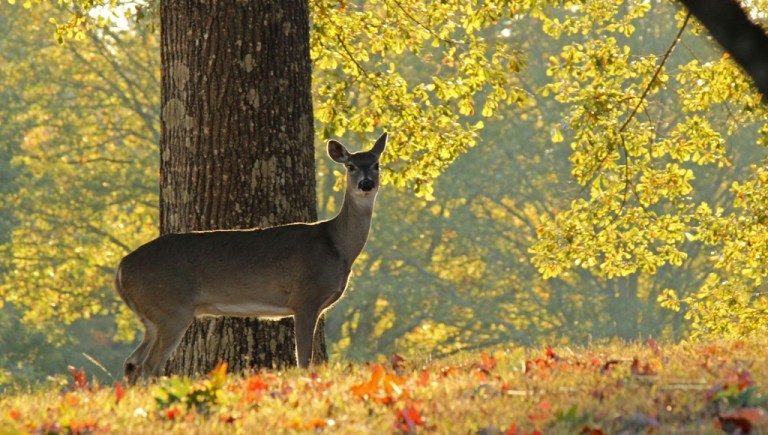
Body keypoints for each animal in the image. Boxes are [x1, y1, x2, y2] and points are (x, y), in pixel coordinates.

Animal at [115, 132, 387, 384]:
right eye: (350, 165)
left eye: (376, 164)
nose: (366, 183)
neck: (336, 246)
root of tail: (121, 268)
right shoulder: (305, 298)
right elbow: (303, 360)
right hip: (171, 308)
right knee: (149, 365)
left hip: (151, 316)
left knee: (131, 362)